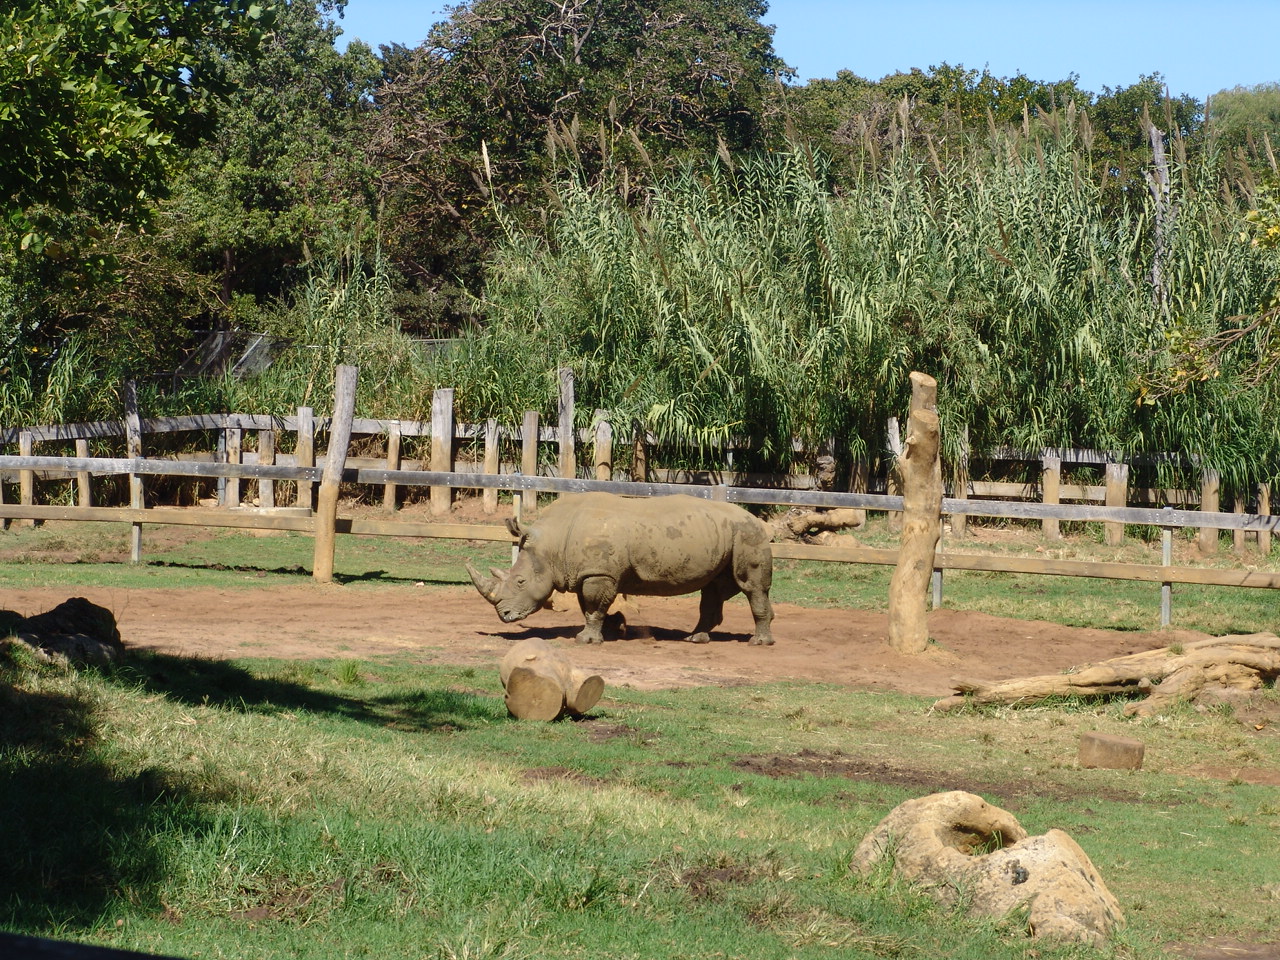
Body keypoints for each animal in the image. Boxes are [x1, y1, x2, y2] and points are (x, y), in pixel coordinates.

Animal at [466, 492, 774, 645]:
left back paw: (758, 643)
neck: (552, 543)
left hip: (747, 534)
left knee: (751, 586)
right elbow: (588, 607)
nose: (504, 616)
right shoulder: (589, 572)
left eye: (520, 581)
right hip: (726, 535)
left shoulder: (598, 573)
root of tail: (759, 519)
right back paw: (695, 639)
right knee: (714, 588)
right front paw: (609, 630)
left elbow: (593, 606)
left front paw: (586, 641)